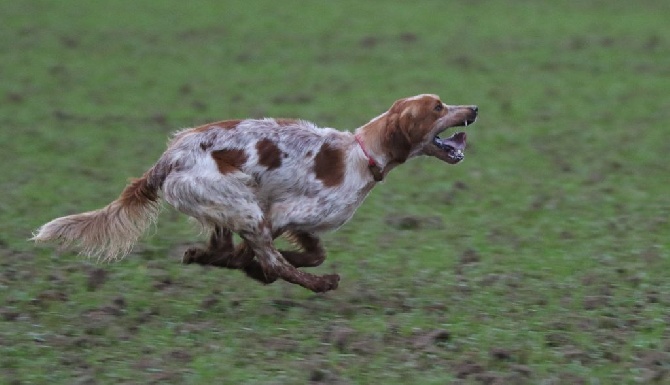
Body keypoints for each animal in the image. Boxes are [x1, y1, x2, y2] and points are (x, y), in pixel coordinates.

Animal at [31, 94, 478, 292]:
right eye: (438, 107)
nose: (473, 108)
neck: (363, 153)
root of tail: (168, 158)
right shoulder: (279, 213)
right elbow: (276, 259)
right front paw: (259, 268)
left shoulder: (295, 220)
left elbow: (312, 251)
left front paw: (242, 264)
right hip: (241, 203)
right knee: (270, 261)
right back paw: (319, 284)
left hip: (225, 201)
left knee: (220, 243)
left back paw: (203, 255)